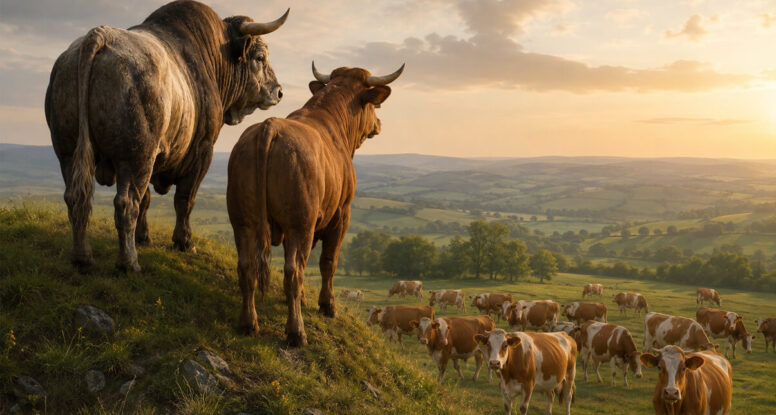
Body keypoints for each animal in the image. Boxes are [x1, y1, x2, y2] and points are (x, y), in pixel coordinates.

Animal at [46, 1, 289, 272]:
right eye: (260, 57)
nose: (278, 91)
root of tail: (99, 35)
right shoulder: (202, 151)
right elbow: (185, 199)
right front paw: (184, 242)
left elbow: (147, 200)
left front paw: (144, 237)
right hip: (135, 156)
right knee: (125, 204)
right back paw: (129, 263)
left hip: (68, 152)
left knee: (76, 197)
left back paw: (82, 257)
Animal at [227, 63, 404, 346]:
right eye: (373, 105)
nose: (378, 124)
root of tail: (269, 126)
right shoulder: (341, 215)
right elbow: (328, 261)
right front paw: (327, 305)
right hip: (300, 224)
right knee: (293, 272)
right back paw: (296, 332)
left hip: (243, 221)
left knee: (247, 267)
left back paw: (248, 323)